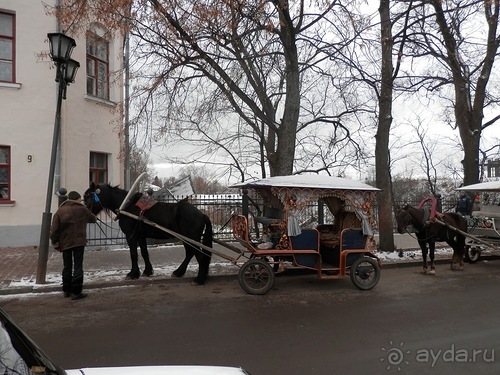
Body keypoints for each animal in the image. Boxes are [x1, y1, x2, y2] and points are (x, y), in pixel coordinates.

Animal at [84, 183, 213, 284]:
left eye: (89, 196)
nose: (86, 213)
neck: (127, 206)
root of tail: (201, 214)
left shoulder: (131, 235)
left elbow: (133, 254)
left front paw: (133, 274)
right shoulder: (141, 236)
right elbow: (144, 253)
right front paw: (147, 271)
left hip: (191, 238)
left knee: (199, 255)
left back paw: (199, 279)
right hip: (187, 239)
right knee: (190, 253)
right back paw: (179, 272)